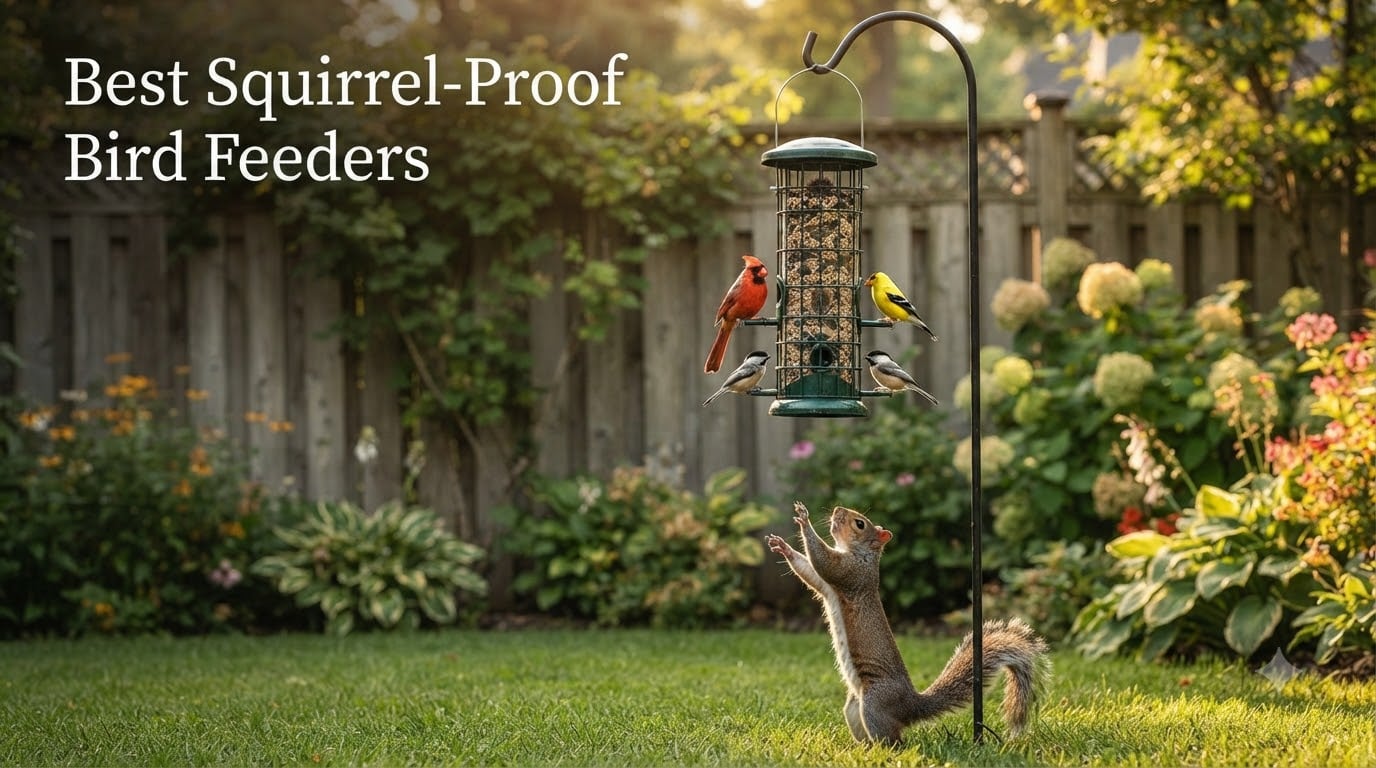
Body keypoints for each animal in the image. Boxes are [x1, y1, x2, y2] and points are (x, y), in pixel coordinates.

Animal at [765, 501, 1050, 746]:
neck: (861, 554)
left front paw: (804, 520)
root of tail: (910, 706)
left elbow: (822, 560)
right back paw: (862, 749)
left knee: (895, 741)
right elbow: (810, 572)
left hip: (874, 704)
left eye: (859, 524)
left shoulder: (852, 575)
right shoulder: (827, 586)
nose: (837, 510)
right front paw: (783, 546)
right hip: (854, 708)